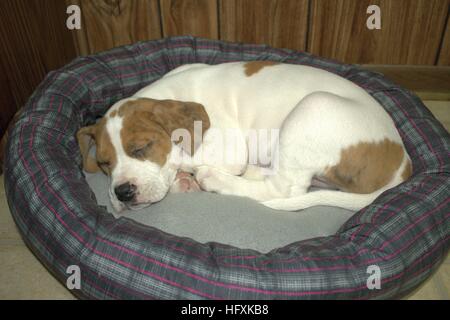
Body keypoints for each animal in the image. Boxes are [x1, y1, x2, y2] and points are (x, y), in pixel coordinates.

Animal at [77, 61, 412, 214]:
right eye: (104, 163)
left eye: (143, 147)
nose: (122, 193)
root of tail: (403, 163)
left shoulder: (227, 148)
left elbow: (180, 156)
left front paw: (183, 174)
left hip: (314, 106)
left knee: (284, 190)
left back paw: (214, 179)